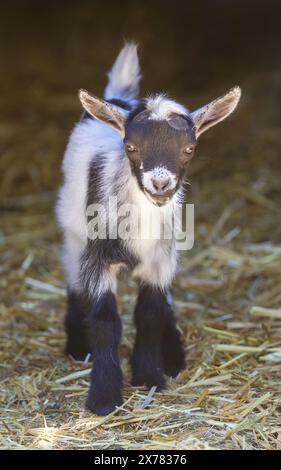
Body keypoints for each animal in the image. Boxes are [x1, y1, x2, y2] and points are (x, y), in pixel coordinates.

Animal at [55, 42, 240, 414]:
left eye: (189, 149)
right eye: (131, 147)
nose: (160, 184)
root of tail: (118, 97)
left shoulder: (160, 258)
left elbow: (151, 313)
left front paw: (149, 375)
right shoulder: (98, 256)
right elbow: (105, 320)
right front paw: (104, 396)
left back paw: (173, 354)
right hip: (74, 232)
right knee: (73, 277)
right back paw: (77, 345)